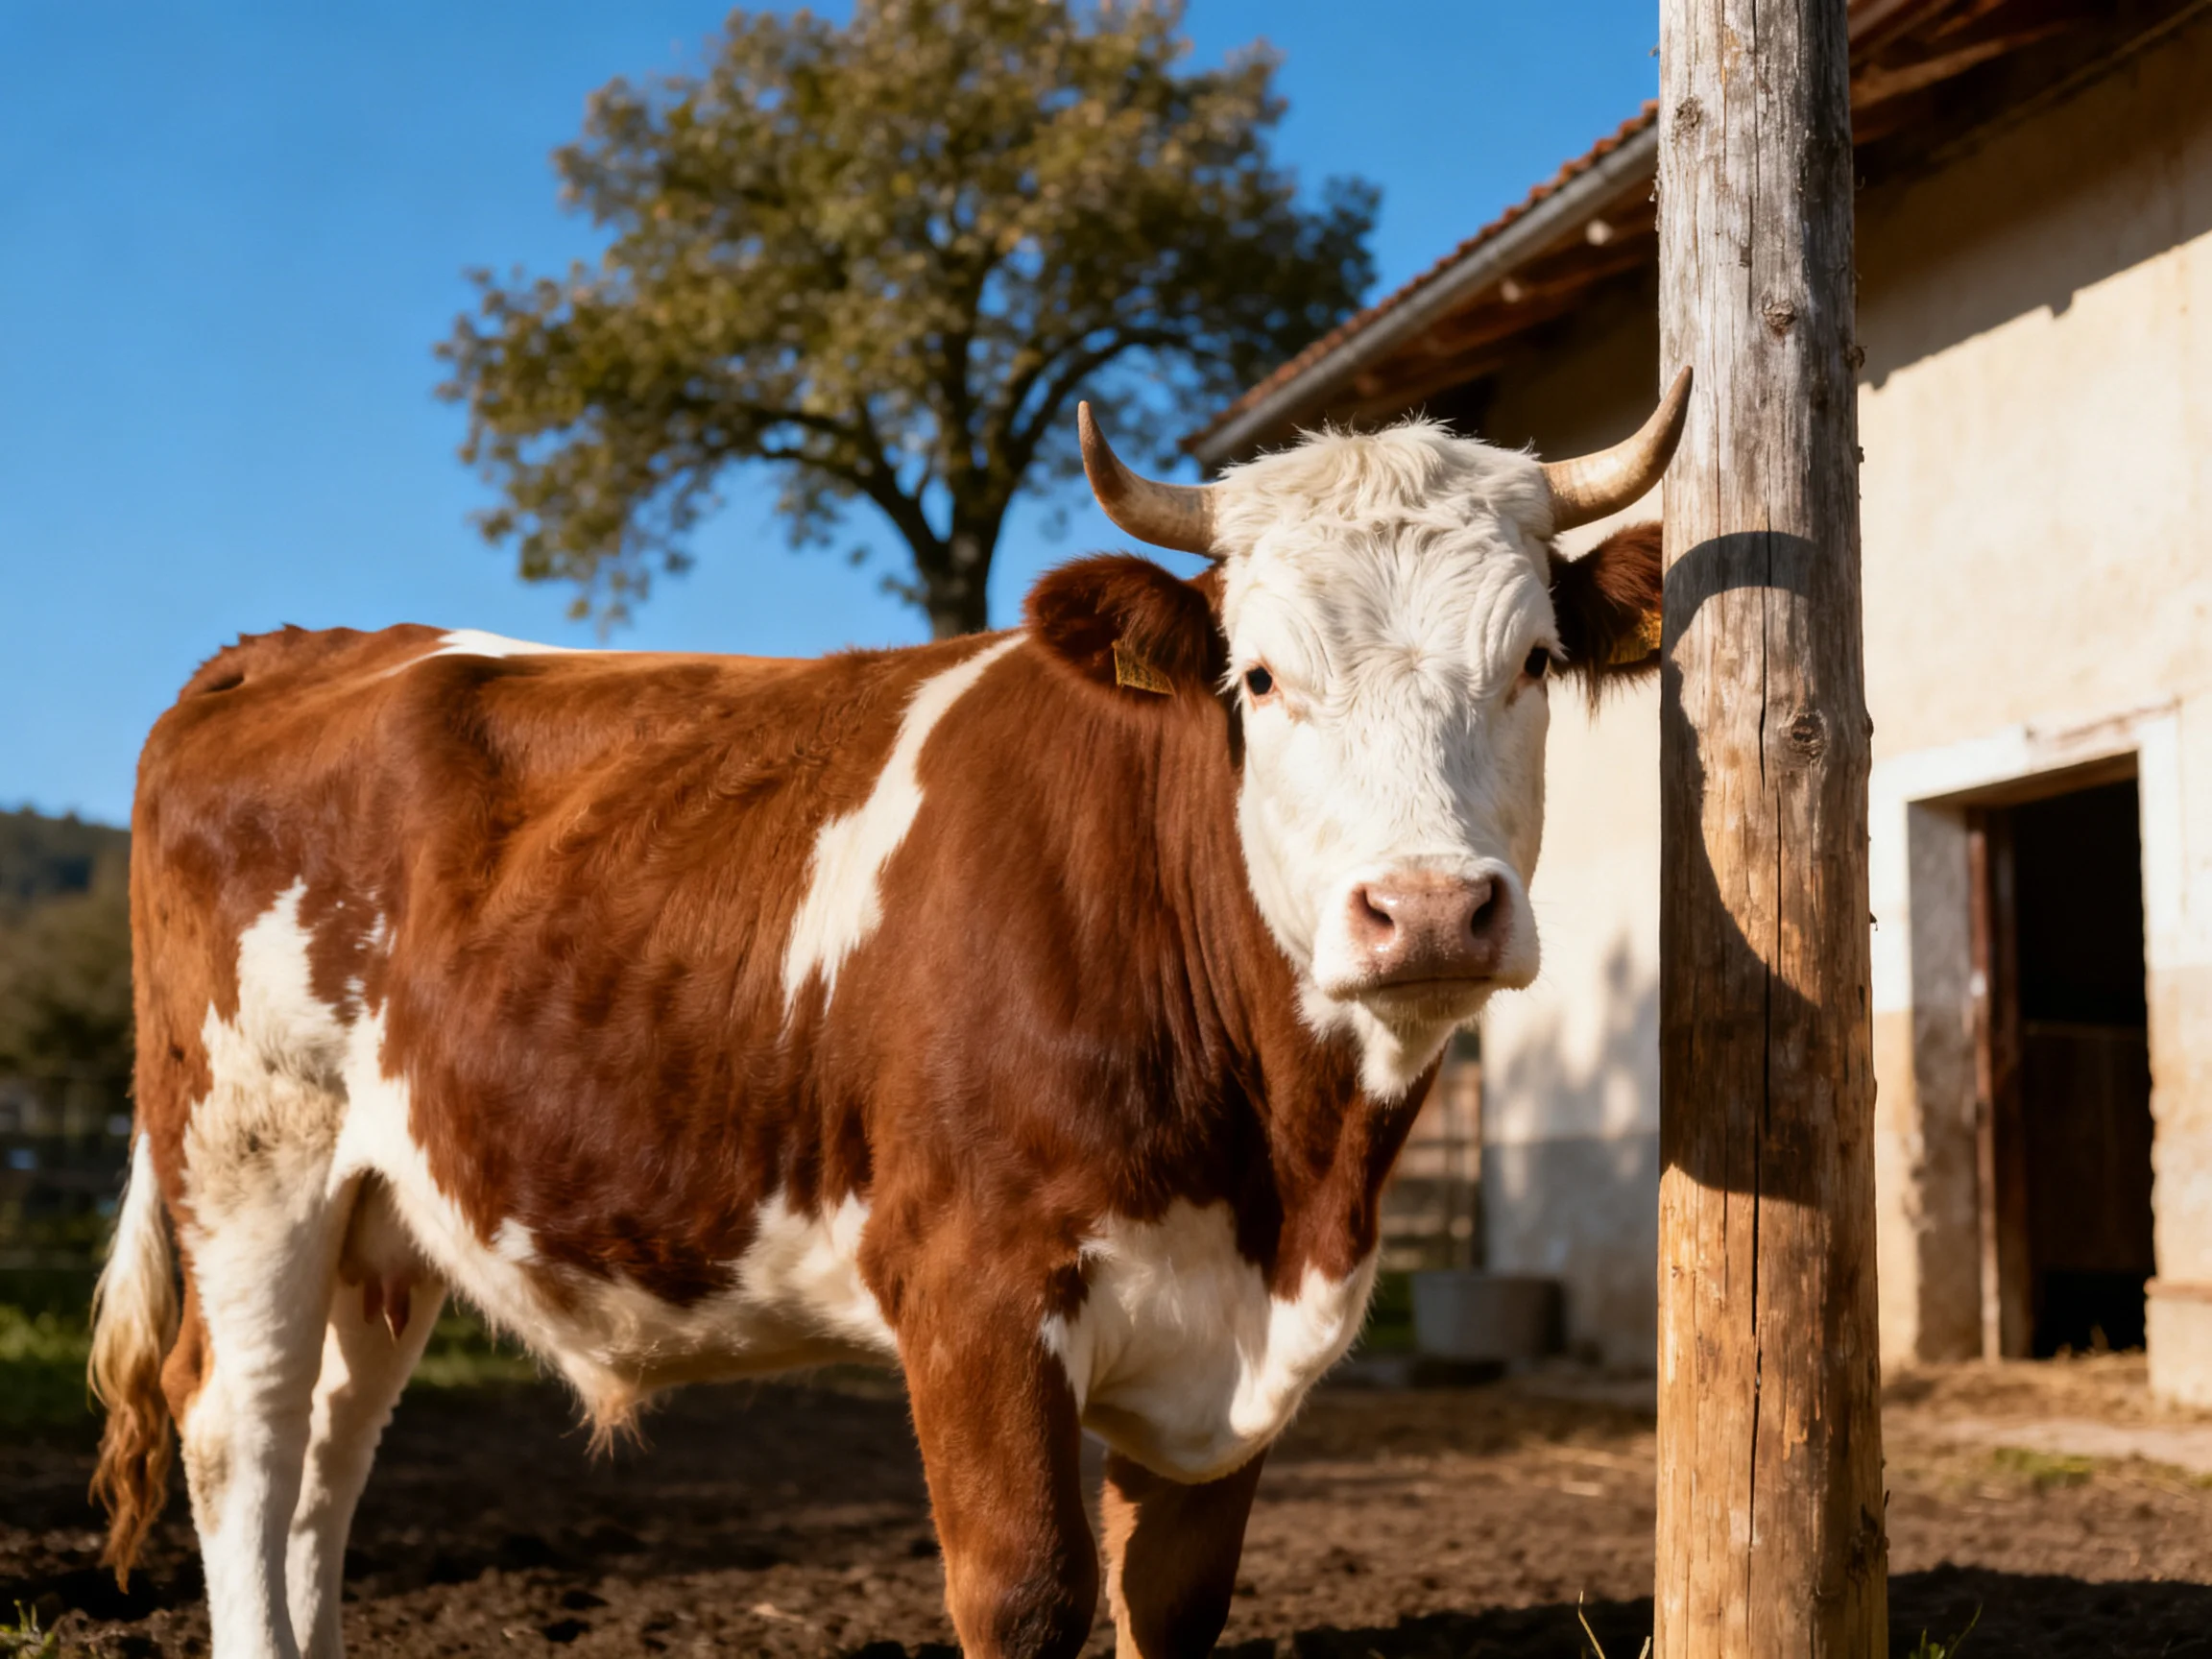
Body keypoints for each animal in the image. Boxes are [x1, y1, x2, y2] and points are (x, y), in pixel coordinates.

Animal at [87, 374, 1686, 1659]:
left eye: (1534, 664)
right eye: (1260, 676)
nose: (1428, 908)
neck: (1287, 1181)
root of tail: (294, 646)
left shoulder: (1222, 1365)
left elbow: (1169, 1604)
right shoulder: (973, 1287)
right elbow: (1024, 1593)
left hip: (386, 1208)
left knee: (330, 1448)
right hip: (248, 1154)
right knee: (238, 1429)